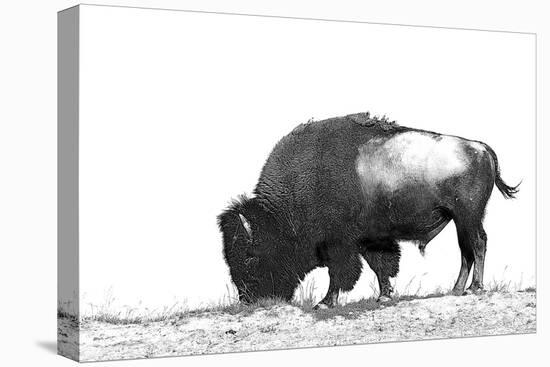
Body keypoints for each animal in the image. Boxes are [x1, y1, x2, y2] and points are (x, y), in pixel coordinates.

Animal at [218, 113, 520, 310]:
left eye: (250, 255)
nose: (248, 299)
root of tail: (480, 148)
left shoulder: (340, 245)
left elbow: (341, 273)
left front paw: (325, 303)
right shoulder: (370, 239)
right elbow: (381, 266)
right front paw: (384, 296)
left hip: (468, 216)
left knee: (478, 244)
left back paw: (474, 288)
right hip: (460, 220)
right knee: (466, 250)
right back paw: (456, 289)